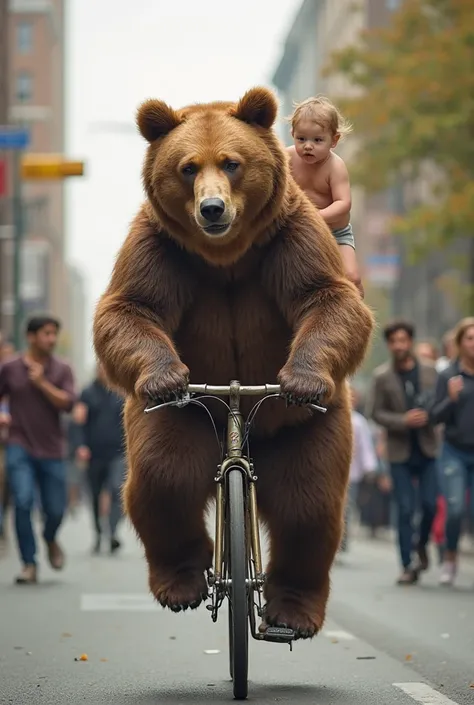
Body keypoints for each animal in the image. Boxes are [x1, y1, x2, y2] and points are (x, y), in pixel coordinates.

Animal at [92, 88, 374, 640]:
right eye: (187, 167)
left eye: (232, 162)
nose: (212, 208)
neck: (226, 257)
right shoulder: (161, 249)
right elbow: (130, 307)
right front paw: (164, 374)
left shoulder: (289, 240)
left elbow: (326, 297)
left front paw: (303, 376)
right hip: (180, 418)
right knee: (164, 474)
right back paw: (180, 582)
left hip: (306, 424)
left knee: (308, 501)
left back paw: (293, 609)